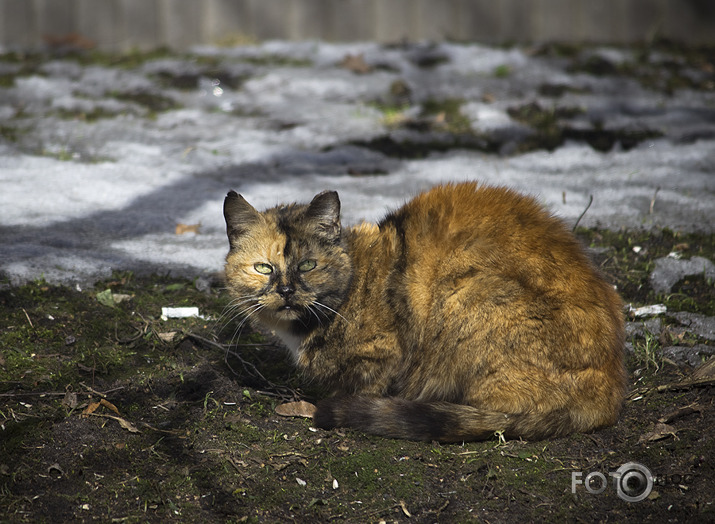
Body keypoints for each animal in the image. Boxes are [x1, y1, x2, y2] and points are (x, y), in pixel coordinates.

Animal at [224, 182, 628, 440]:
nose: (286, 290)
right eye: (263, 268)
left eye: (308, 265)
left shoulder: (383, 355)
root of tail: (611, 389)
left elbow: (368, 382)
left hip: (468, 290)